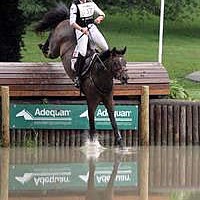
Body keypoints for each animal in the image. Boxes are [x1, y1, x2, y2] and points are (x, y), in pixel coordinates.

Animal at [34, 2, 129, 148]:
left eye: (124, 62)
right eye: (115, 63)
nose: (125, 78)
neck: (100, 76)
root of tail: (67, 20)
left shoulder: (108, 100)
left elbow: (114, 122)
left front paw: (121, 144)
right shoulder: (91, 102)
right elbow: (92, 126)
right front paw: (93, 146)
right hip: (55, 48)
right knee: (50, 40)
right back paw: (42, 46)